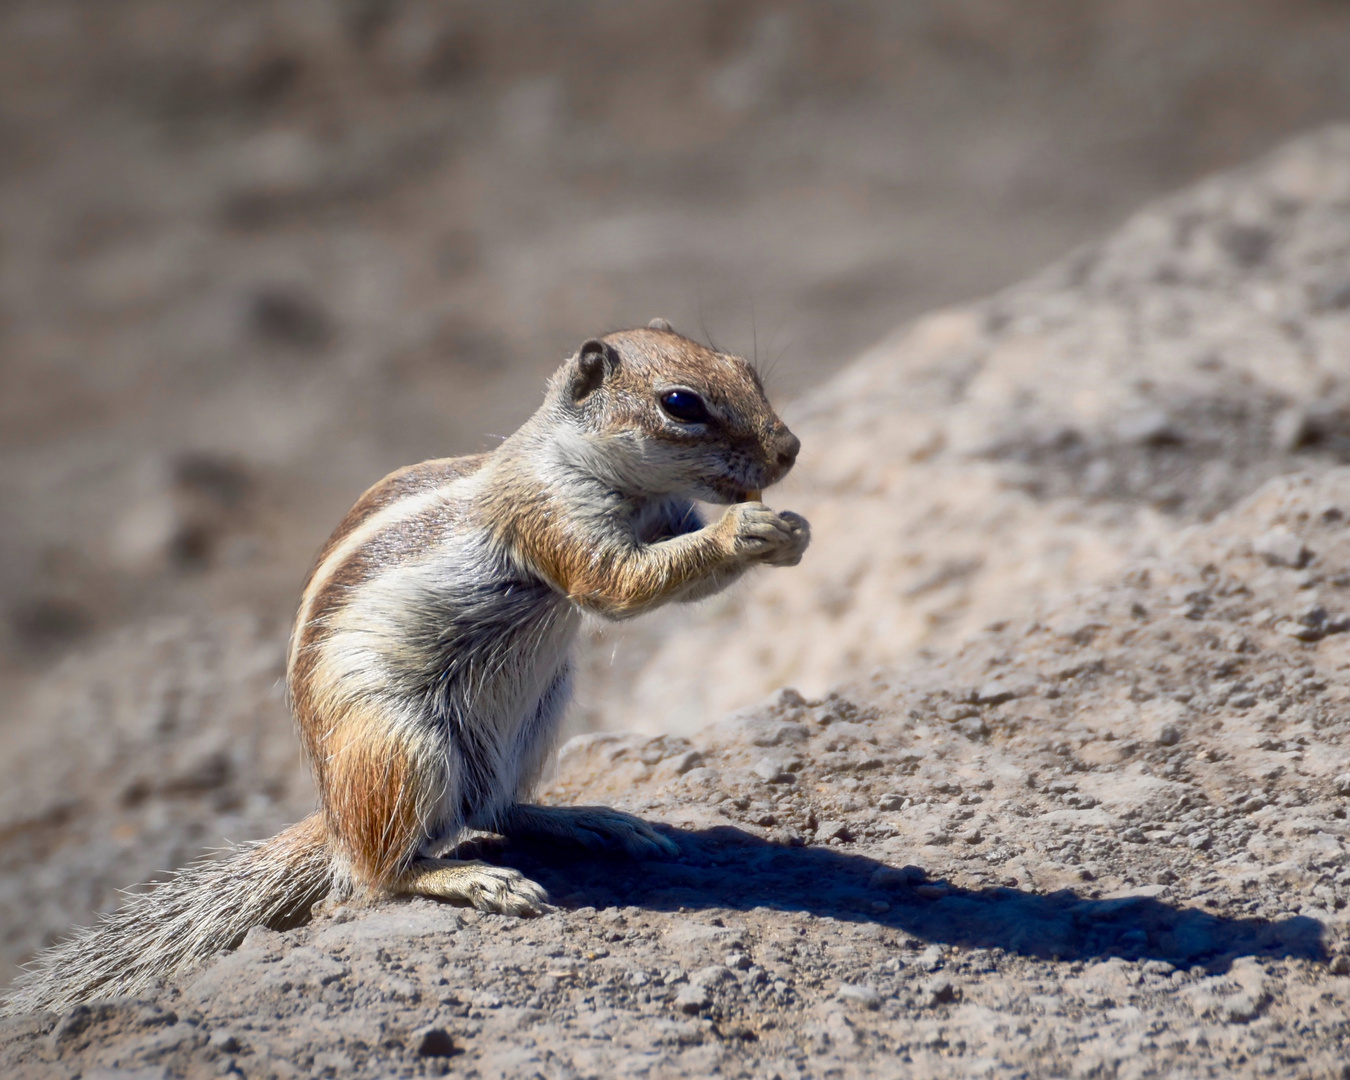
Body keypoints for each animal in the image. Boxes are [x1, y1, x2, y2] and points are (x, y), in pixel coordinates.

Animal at [2, 318, 810, 1015]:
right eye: (681, 404)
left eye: (745, 369)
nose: (791, 451)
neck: (597, 470)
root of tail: (334, 816)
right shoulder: (550, 515)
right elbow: (618, 584)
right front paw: (747, 529)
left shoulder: (663, 516)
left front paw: (792, 532)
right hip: (402, 745)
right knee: (379, 874)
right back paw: (474, 879)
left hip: (537, 718)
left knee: (498, 809)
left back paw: (591, 819)